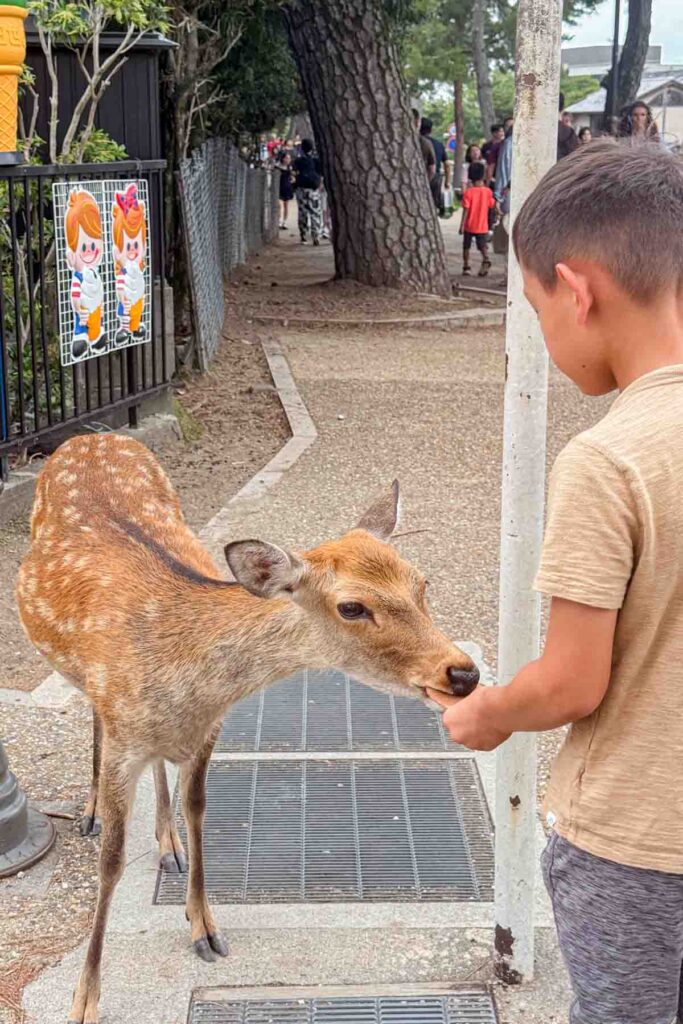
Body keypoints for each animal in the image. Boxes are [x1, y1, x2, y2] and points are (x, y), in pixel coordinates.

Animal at [16, 432, 480, 1024]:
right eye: (352, 606)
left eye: (423, 583)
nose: (462, 673)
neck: (184, 678)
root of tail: (91, 434)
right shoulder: (124, 732)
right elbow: (112, 861)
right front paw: (84, 1000)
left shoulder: (208, 729)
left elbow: (198, 810)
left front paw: (204, 927)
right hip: (80, 675)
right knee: (90, 710)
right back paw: (93, 812)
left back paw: (167, 843)